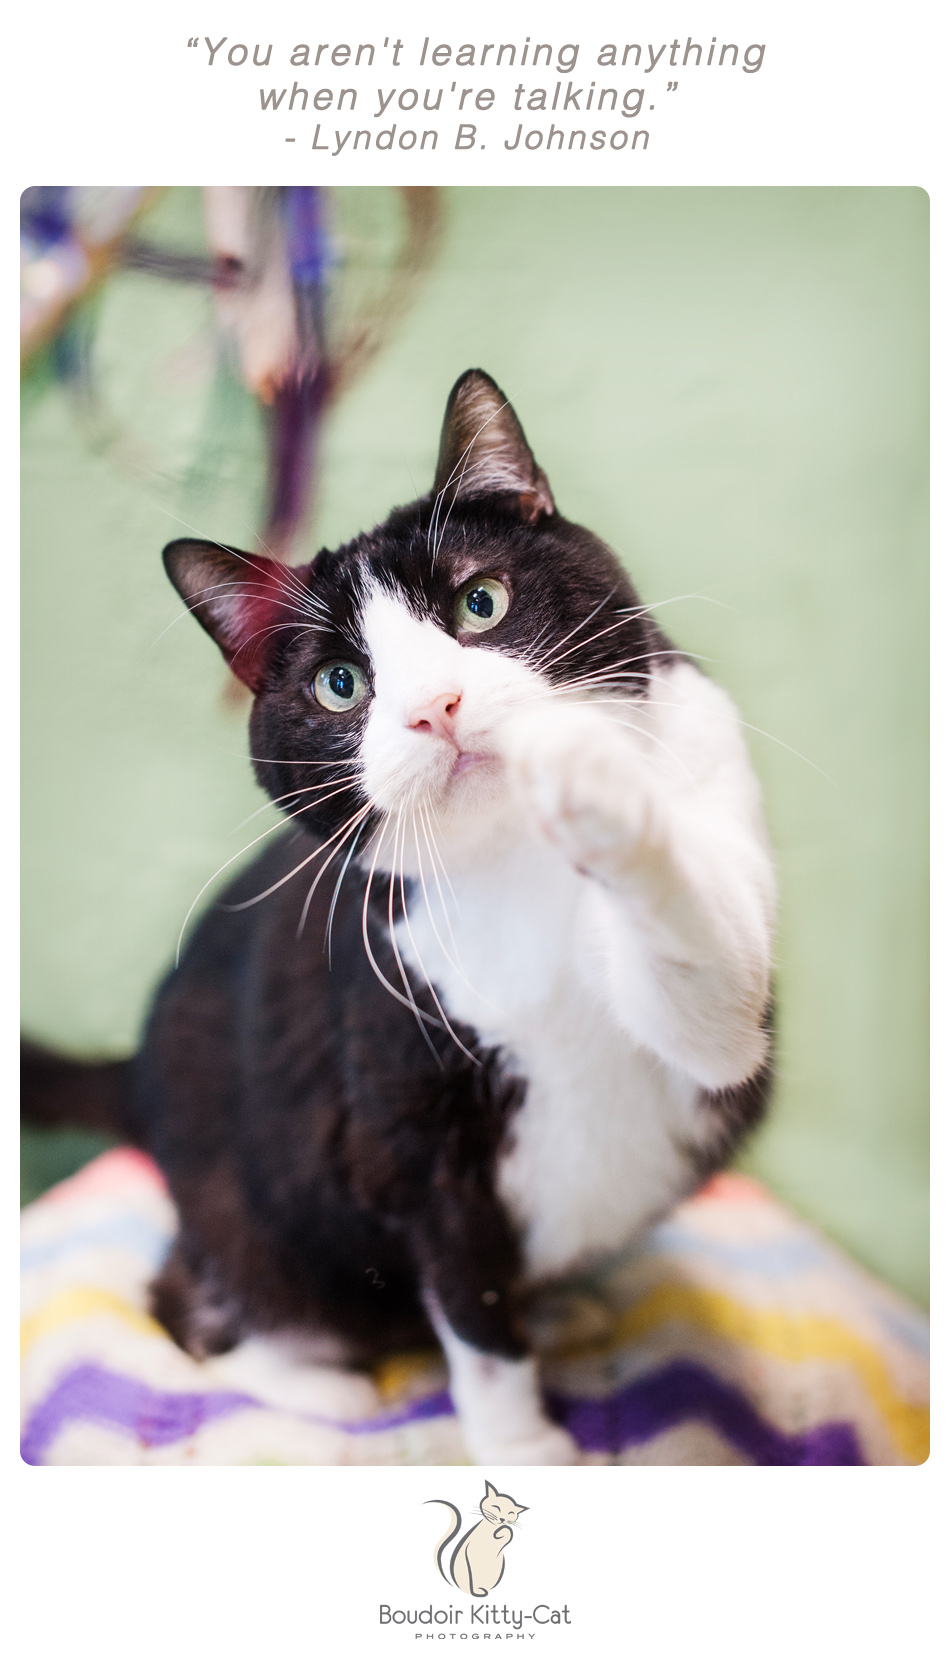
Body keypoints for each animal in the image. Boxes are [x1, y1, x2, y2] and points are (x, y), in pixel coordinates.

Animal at [133, 373, 769, 1466]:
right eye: (340, 684)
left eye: (481, 602)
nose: (437, 704)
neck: (520, 864)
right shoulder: (405, 1123)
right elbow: (472, 1310)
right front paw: (522, 1446)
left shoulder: (712, 837)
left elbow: (713, 1003)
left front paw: (599, 787)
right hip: (242, 1191)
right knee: (204, 1297)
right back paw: (320, 1384)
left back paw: (564, 1309)